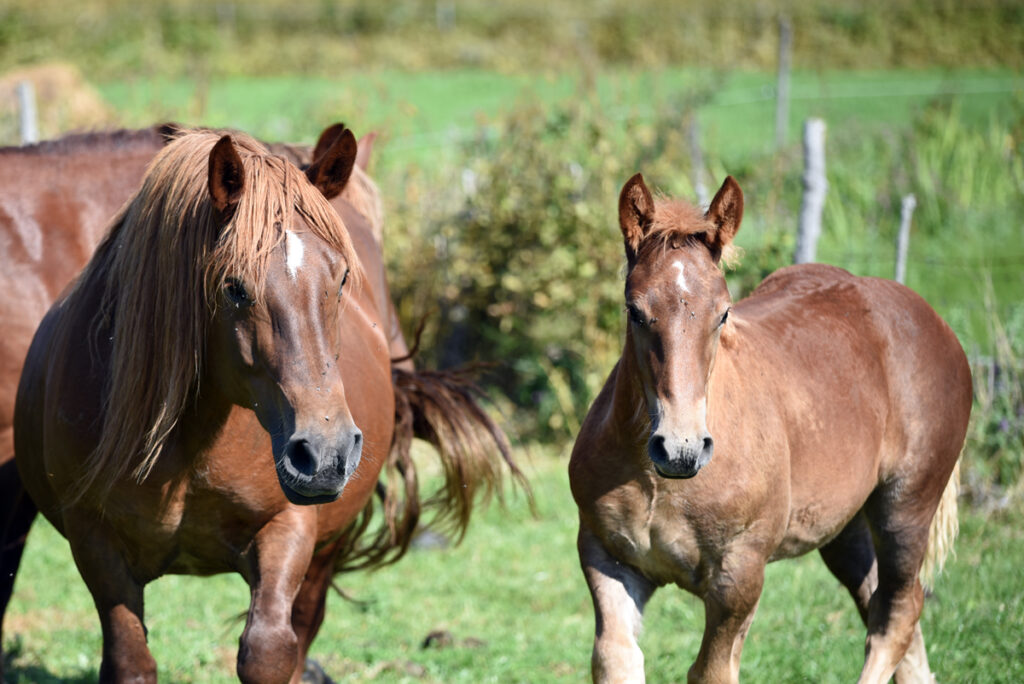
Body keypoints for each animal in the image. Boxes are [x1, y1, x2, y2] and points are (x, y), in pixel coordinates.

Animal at [573, 175, 970, 684]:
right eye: (634, 310)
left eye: (723, 313)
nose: (681, 449)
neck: (658, 481)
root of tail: (932, 319)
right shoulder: (608, 559)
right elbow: (615, 657)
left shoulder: (739, 577)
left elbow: (710, 670)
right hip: (844, 530)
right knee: (891, 610)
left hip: (906, 505)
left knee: (897, 616)